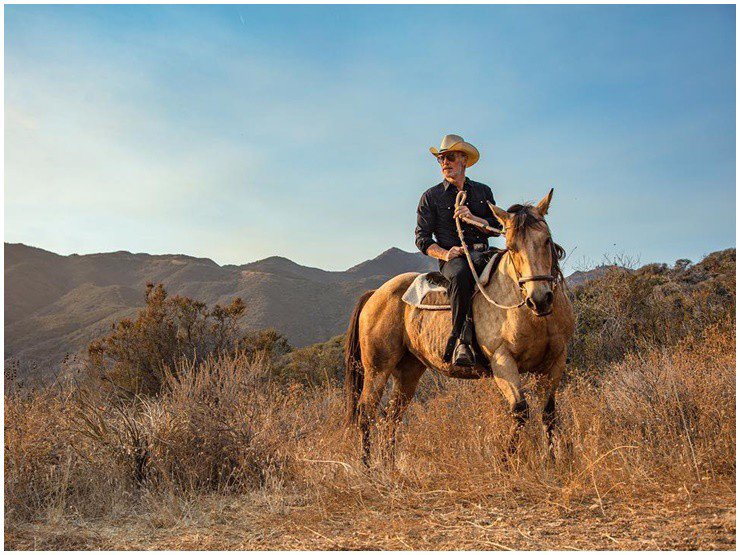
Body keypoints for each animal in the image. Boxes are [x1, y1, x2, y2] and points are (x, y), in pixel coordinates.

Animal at [344, 190, 576, 464]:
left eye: (547, 240)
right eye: (511, 247)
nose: (539, 299)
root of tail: (375, 294)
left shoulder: (555, 361)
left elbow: (548, 413)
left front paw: (551, 462)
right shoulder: (502, 360)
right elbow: (520, 411)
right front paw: (506, 462)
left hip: (408, 369)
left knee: (393, 416)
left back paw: (389, 465)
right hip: (377, 368)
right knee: (366, 413)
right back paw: (367, 467)